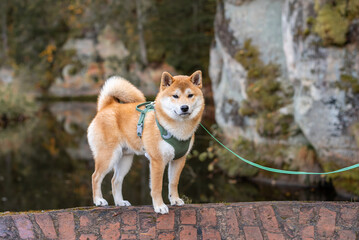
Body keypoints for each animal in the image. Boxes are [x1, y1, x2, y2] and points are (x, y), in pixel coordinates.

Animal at [87, 70, 205, 215]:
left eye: (190, 95)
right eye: (175, 96)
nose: (184, 107)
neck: (177, 128)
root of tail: (108, 106)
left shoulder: (179, 159)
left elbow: (173, 182)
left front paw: (175, 200)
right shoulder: (157, 161)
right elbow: (157, 187)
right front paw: (159, 206)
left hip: (125, 159)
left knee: (115, 180)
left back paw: (120, 202)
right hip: (108, 156)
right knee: (95, 177)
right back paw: (98, 200)